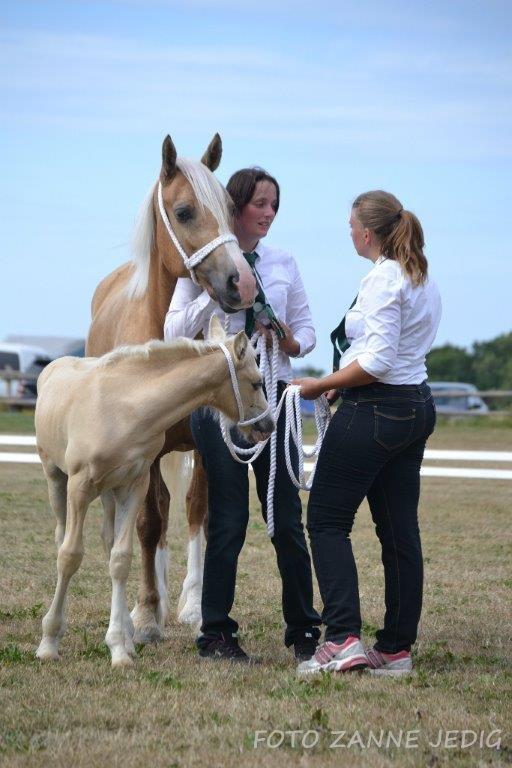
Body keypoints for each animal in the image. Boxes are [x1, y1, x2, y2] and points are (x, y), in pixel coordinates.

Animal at [36, 316, 274, 664]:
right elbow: (69, 555)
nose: (267, 426)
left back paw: (127, 628)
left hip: (109, 492)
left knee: (108, 541)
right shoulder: (80, 487)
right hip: (55, 476)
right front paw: (49, 641)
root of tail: (53, 367)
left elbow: (121, 559)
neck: (122, 408)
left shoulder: (134, 485)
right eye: (256, 383)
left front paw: (120, 646)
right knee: (60, 537)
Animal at [87, 134, 256, 640]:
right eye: (183, 212)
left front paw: (196, 606)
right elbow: (148, 523)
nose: (243, 283)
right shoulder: (143, 451)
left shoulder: (206, 445)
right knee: (155, 516)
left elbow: (200, 513)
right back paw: (154, 595)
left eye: (229, 207)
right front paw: (144, 615)